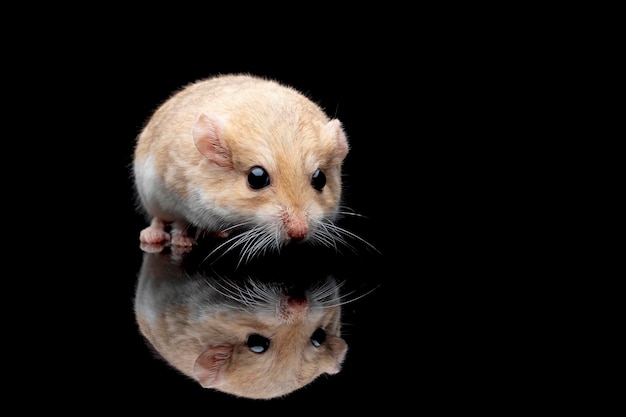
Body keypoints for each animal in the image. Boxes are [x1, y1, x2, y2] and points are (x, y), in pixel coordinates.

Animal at [132, 73, 354, 258]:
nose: (299, 234)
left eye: (320, 179)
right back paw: (154, 236)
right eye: (256, 178)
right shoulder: (177, 197)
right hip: (150, 195)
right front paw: (183, 244)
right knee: (159, 219)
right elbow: (180, 222)